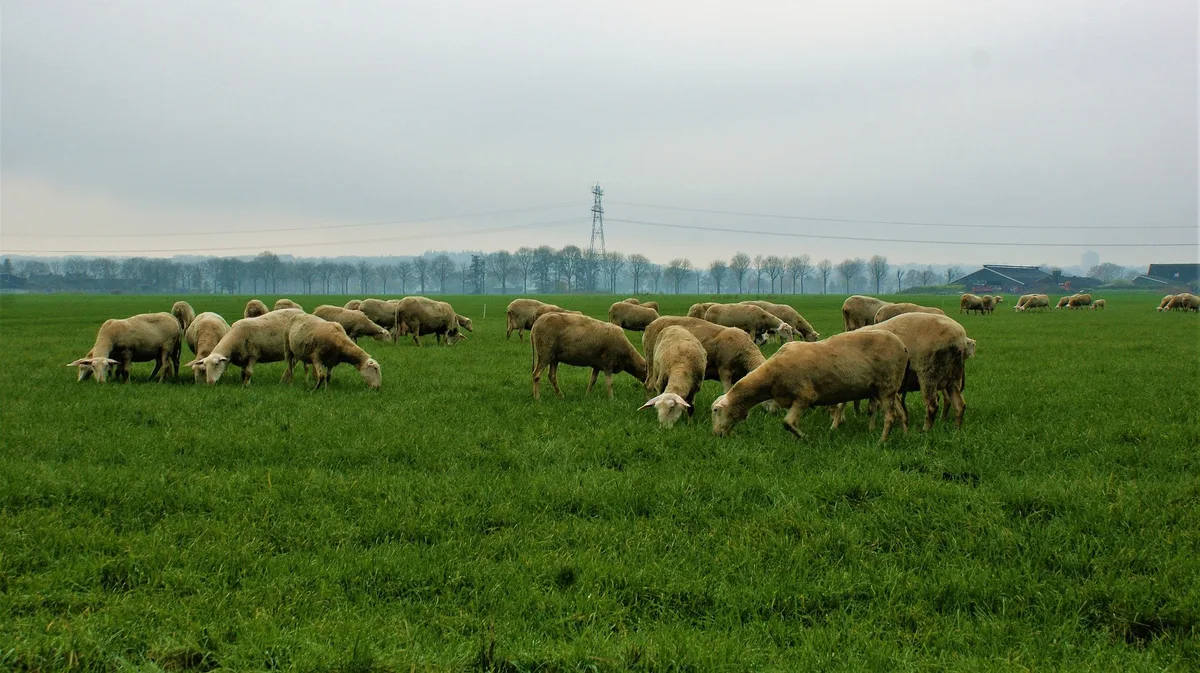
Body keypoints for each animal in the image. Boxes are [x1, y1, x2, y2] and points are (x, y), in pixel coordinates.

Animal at [711, 330, 909, 442]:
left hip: (886, 385)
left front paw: (804, 438)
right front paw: (796, 438)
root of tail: (903, 346)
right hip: (889, 388)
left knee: (890, 416)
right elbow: (792, 423)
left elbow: (787, 423)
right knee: (900, 412)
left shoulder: (804, 396)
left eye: (716, 411)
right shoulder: (794, 400)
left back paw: (882, 441)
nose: (716, 435)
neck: (770, 376)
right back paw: (904, 435)